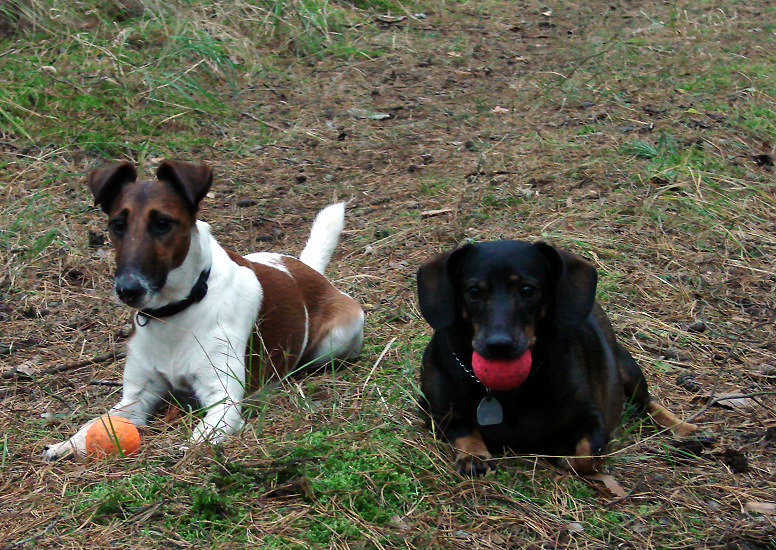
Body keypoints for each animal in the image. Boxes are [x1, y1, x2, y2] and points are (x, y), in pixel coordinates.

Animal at [44, 161, 366, 462]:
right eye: (117, 225)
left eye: (163, 223)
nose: (127, 289)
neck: (175, 312)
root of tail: (308, 269)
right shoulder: (137, 395)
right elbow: (94, 423)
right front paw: (67, 444)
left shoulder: (223, 397)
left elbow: (202, 435)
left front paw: (189, 449)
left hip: (336, 337)